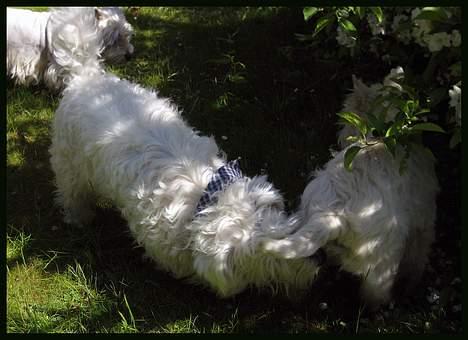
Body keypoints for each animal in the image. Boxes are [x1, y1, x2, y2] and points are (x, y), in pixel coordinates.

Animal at [48, 7, 318, 298]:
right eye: (271, 255)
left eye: (288, 228)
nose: (318, 257)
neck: (203, 197)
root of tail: (85, 76)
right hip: (69, 166)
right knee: (72, 194)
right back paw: (79, 218)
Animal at [266, 69, 440, 308]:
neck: (384, 135)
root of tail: (332, 214)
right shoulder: (424, 221)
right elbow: (417, 260)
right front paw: (411, 286)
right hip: (383, 261)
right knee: (374, 294)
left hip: (304, 240)